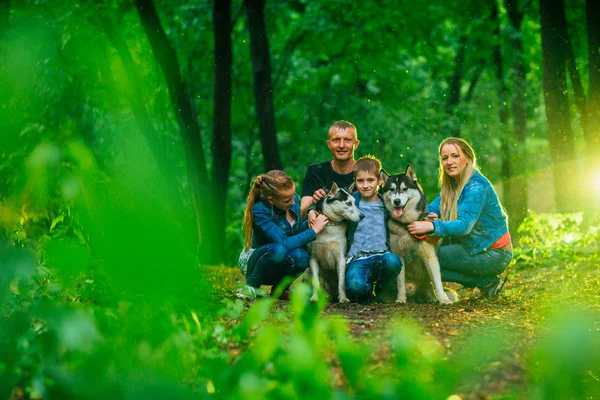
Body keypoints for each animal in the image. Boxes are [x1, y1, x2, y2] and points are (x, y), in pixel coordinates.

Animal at [382, 164, 452, 304]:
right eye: (392, 189)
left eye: (404, 189)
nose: (396, 201)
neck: (407, 224)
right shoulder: (399, 255)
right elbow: (400, 282)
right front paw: (401, 299)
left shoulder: (430, 257)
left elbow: (437, 282)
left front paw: (443, 299)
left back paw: (432, 298)